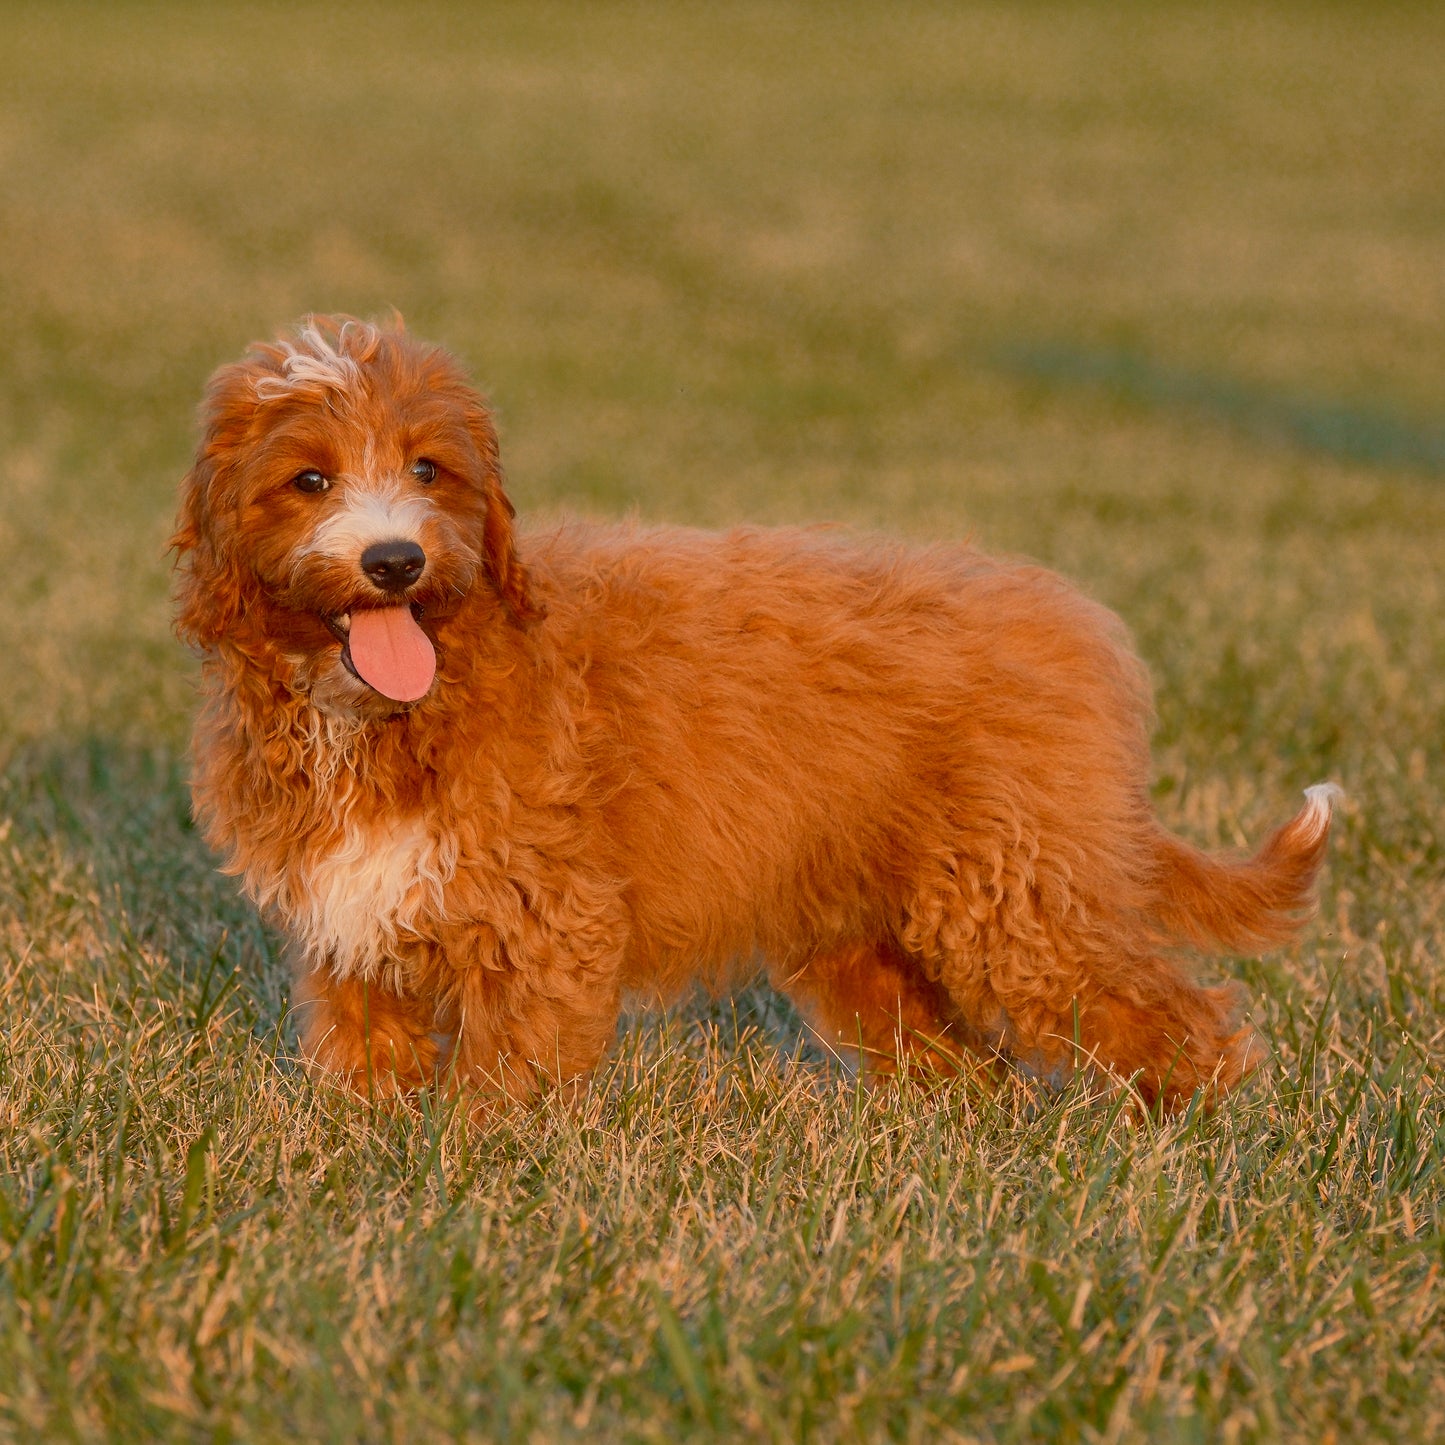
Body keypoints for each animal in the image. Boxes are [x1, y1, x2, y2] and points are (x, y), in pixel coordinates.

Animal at [174, 313, 1335, 1103]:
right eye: (310, 480)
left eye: (428, 467)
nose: (393, 560)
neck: (399, 705)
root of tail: (1073, 620)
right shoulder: (348, 925)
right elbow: (363, 1055)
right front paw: (361, 1155)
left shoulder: (541, 914)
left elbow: (510, 1073)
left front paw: (483, 1171)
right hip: (870, 933)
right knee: (960, 1057)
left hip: (1022, 895)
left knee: (1170, 1013)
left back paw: (1196, 1138)